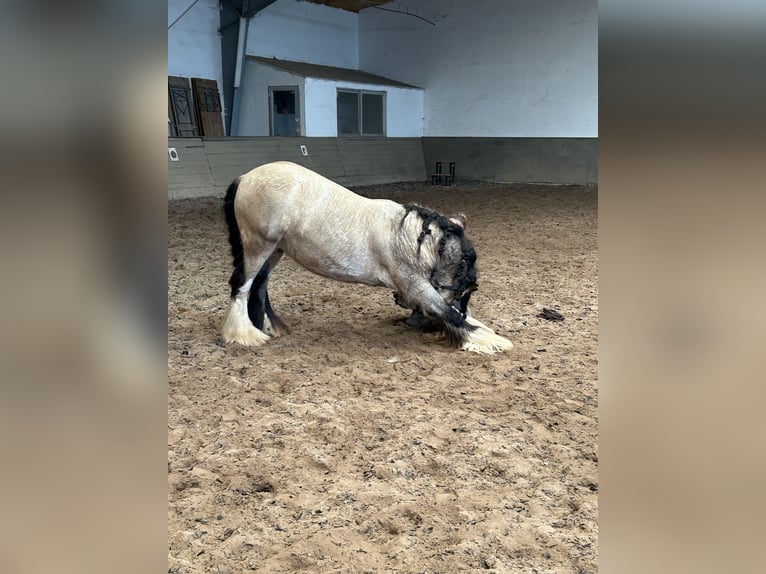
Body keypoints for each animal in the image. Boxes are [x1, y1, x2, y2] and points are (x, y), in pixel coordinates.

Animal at [221, 161, 512, 354]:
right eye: (465, 281)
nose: (418, 322)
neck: (406, 236)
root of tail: (246, 177)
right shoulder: (416, 286)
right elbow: (447, 312)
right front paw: (489, 340)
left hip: (275, 250)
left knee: (259, 285)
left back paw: (268, 327)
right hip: (258, 245)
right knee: (242, 284)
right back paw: (243, 334)